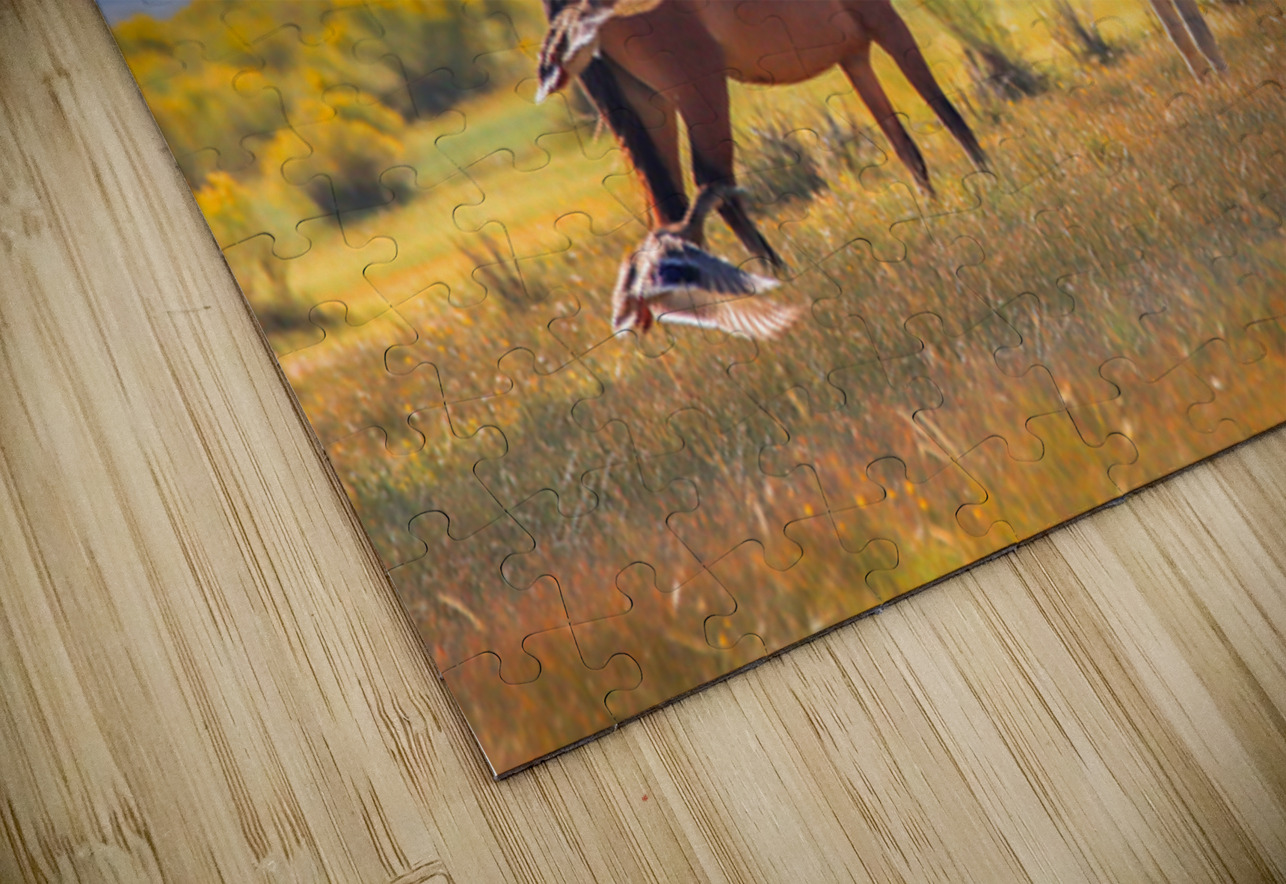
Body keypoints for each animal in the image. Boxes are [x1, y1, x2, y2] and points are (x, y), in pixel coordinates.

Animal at [544, 0, 988, 269]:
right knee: (712, 186)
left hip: (652, 110)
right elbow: (943, 108)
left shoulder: (853, 55)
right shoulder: (883, 21)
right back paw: (776, 277)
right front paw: (987, 180)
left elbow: (903, 144)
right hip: (701, 94)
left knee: (669, 211)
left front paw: (934, 208)